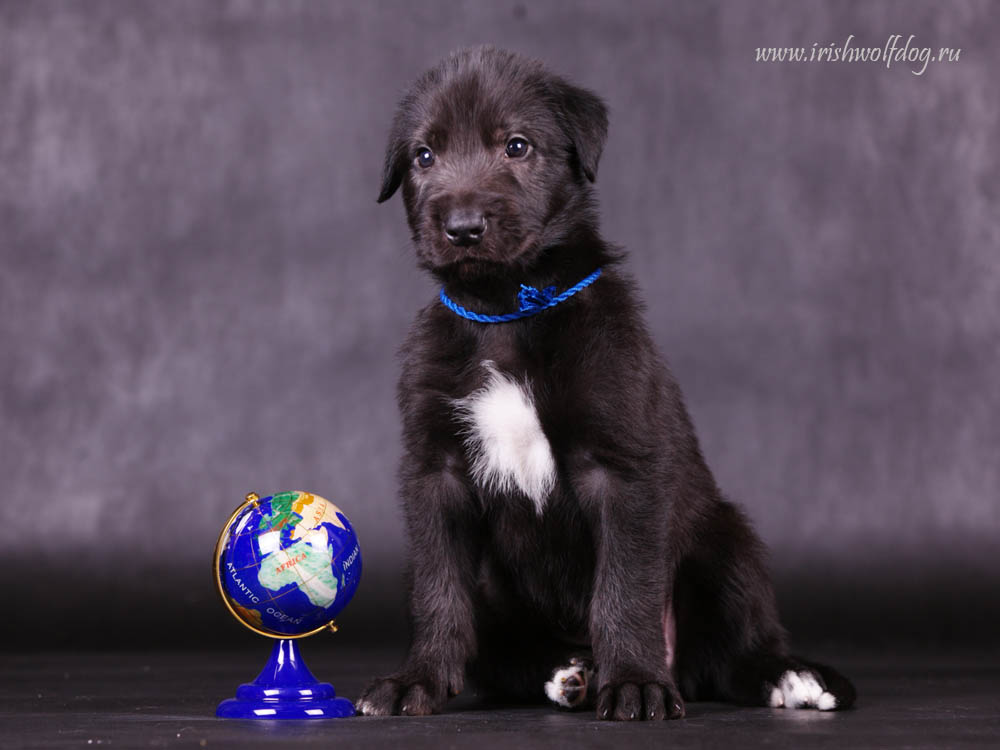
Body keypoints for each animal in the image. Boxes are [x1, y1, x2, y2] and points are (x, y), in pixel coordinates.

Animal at [356, 45, 856, 724]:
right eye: (424, 156)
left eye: (517, 146)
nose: (462, 226)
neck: (506, 310)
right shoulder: (436, 474)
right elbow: (440, 589)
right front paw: (420, 679)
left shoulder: (620, 469)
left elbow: (625, 584)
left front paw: (637, 682)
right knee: (503, 649)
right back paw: (567, 672)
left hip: (726, 541)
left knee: (737, 652)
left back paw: (787, 676)